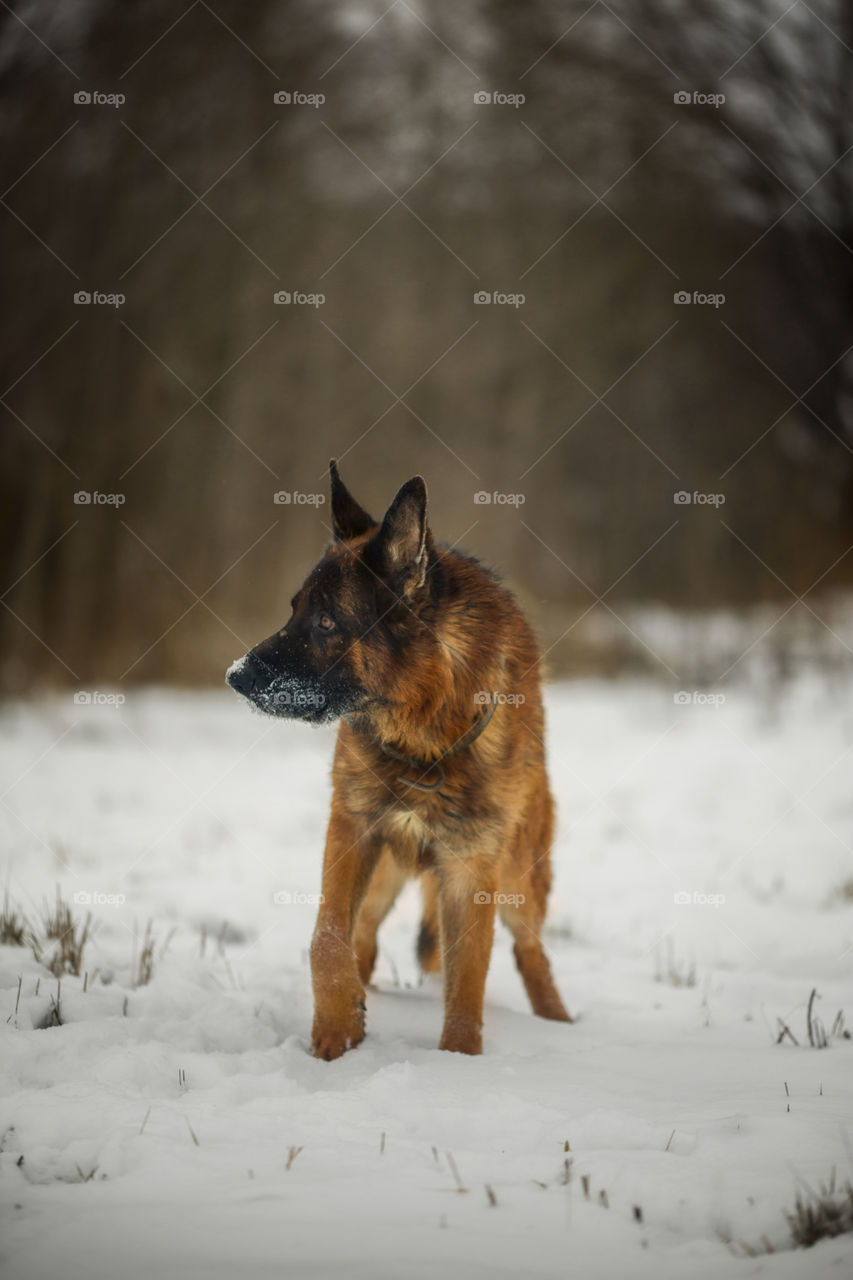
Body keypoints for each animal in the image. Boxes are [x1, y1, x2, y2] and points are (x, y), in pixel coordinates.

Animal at [229, 465, 568, 1054]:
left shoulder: (470, 870)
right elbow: (326, 937)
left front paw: (459, 1060)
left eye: (326, 622)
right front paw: (337, 1028)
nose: (235, 676)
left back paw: (560, 1025)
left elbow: (468, 985)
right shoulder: (353, 829)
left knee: (531, 950)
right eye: (294, 610)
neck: (424, 743)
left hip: (517, 878)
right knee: (363, 934)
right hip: (386, 872)